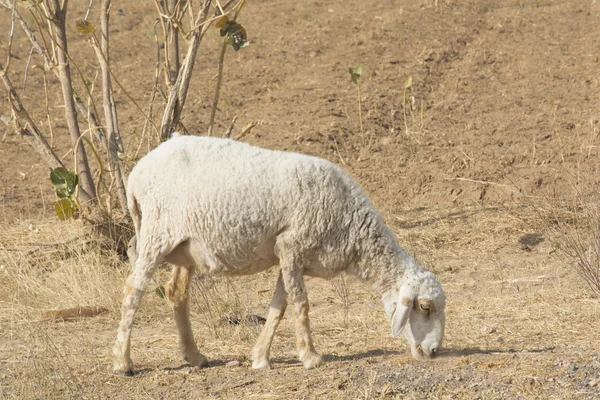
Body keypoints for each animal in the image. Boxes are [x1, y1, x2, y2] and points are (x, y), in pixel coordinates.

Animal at [115, 134, 448, 376]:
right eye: (425, 307)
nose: (434, 353)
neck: (352, 228)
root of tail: (138, 170)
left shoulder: (289, 259)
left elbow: (278, 306)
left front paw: (260, 357)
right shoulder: (292, 246)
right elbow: (300, 305)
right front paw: (311, 356)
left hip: (184, 247)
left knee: (176, 292)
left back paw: (194, 356)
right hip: (157, 231)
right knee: (133, 290)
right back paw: (123, 362)